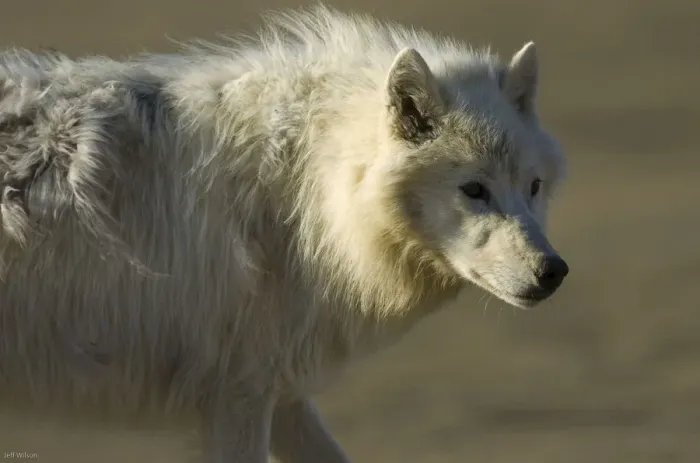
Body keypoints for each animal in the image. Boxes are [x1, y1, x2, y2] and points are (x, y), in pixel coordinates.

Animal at [0, 4, 569, 462]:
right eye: (474, 190)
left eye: (533, 187)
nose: (555, 272)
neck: (305, 190)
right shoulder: (238, 396)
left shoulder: (285, 397)